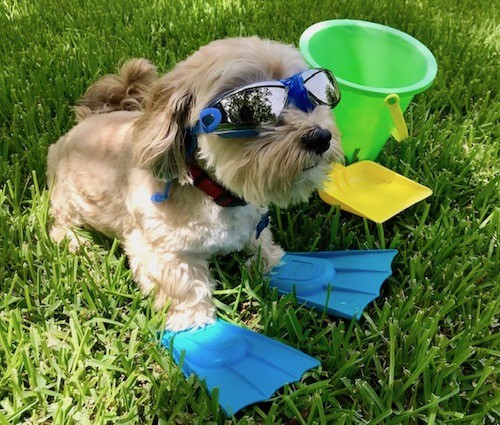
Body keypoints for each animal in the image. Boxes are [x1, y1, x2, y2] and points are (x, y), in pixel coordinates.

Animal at [47, 36, 342, 330]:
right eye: (249, 110)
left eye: (314, 94)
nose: (321, 137)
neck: (214, 192)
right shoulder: (161, 251)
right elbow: (184, 286)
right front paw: (194, 322)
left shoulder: (255, 226)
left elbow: (262, 246)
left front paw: (276, 264)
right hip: (67, 199)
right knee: (59, 223)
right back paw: (75, 241)